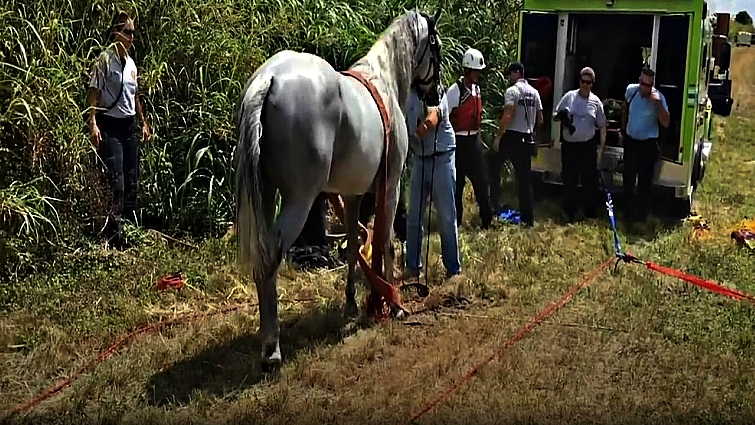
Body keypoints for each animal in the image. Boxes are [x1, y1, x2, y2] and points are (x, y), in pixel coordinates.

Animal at [234, 8, 444, 368]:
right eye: (437, 48)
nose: (437, 94)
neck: (383, 80)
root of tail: (269, 79)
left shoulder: (351, 194)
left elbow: (354, 246)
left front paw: (355, 303)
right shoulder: (390, 188)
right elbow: (386, 242)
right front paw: (393, 306)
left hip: (268, 196)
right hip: (299, 200)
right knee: (269, 259)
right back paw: (272, 348)